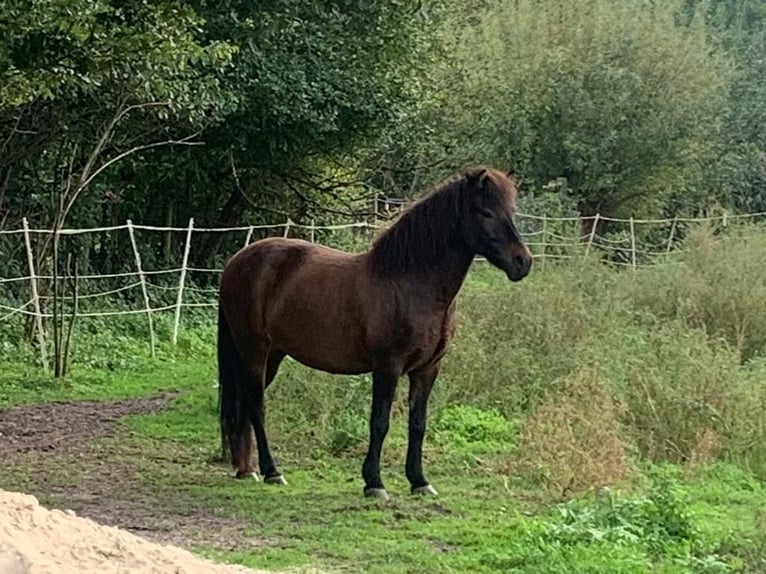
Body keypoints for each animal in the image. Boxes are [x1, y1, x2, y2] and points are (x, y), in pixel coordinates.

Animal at [218, 166, 536, 500]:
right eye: (485, 212)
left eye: (511, 211)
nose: (522, 262)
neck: (409, 284)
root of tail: (237, 261)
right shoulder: (388, 366)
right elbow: (379, 422)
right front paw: (374, 483)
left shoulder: (428, 369)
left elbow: (417, 424)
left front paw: (419, 481)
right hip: (254, 351)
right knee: (257, 406)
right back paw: (272, 471)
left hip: (274, 355)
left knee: (246, 404)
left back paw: (247, 469)